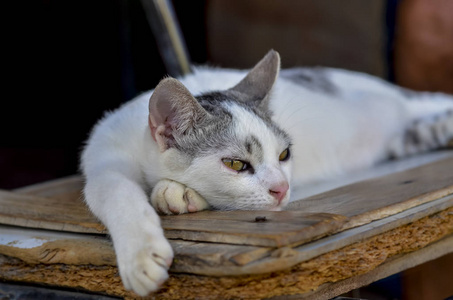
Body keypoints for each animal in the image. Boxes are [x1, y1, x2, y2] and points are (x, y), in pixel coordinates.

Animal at [81, 49, 452, 296]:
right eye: (235, 164)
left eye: (284, 154)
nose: (283, 188)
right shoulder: (103, 159)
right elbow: (116, 191)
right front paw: (143, 250)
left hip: (411, 102)